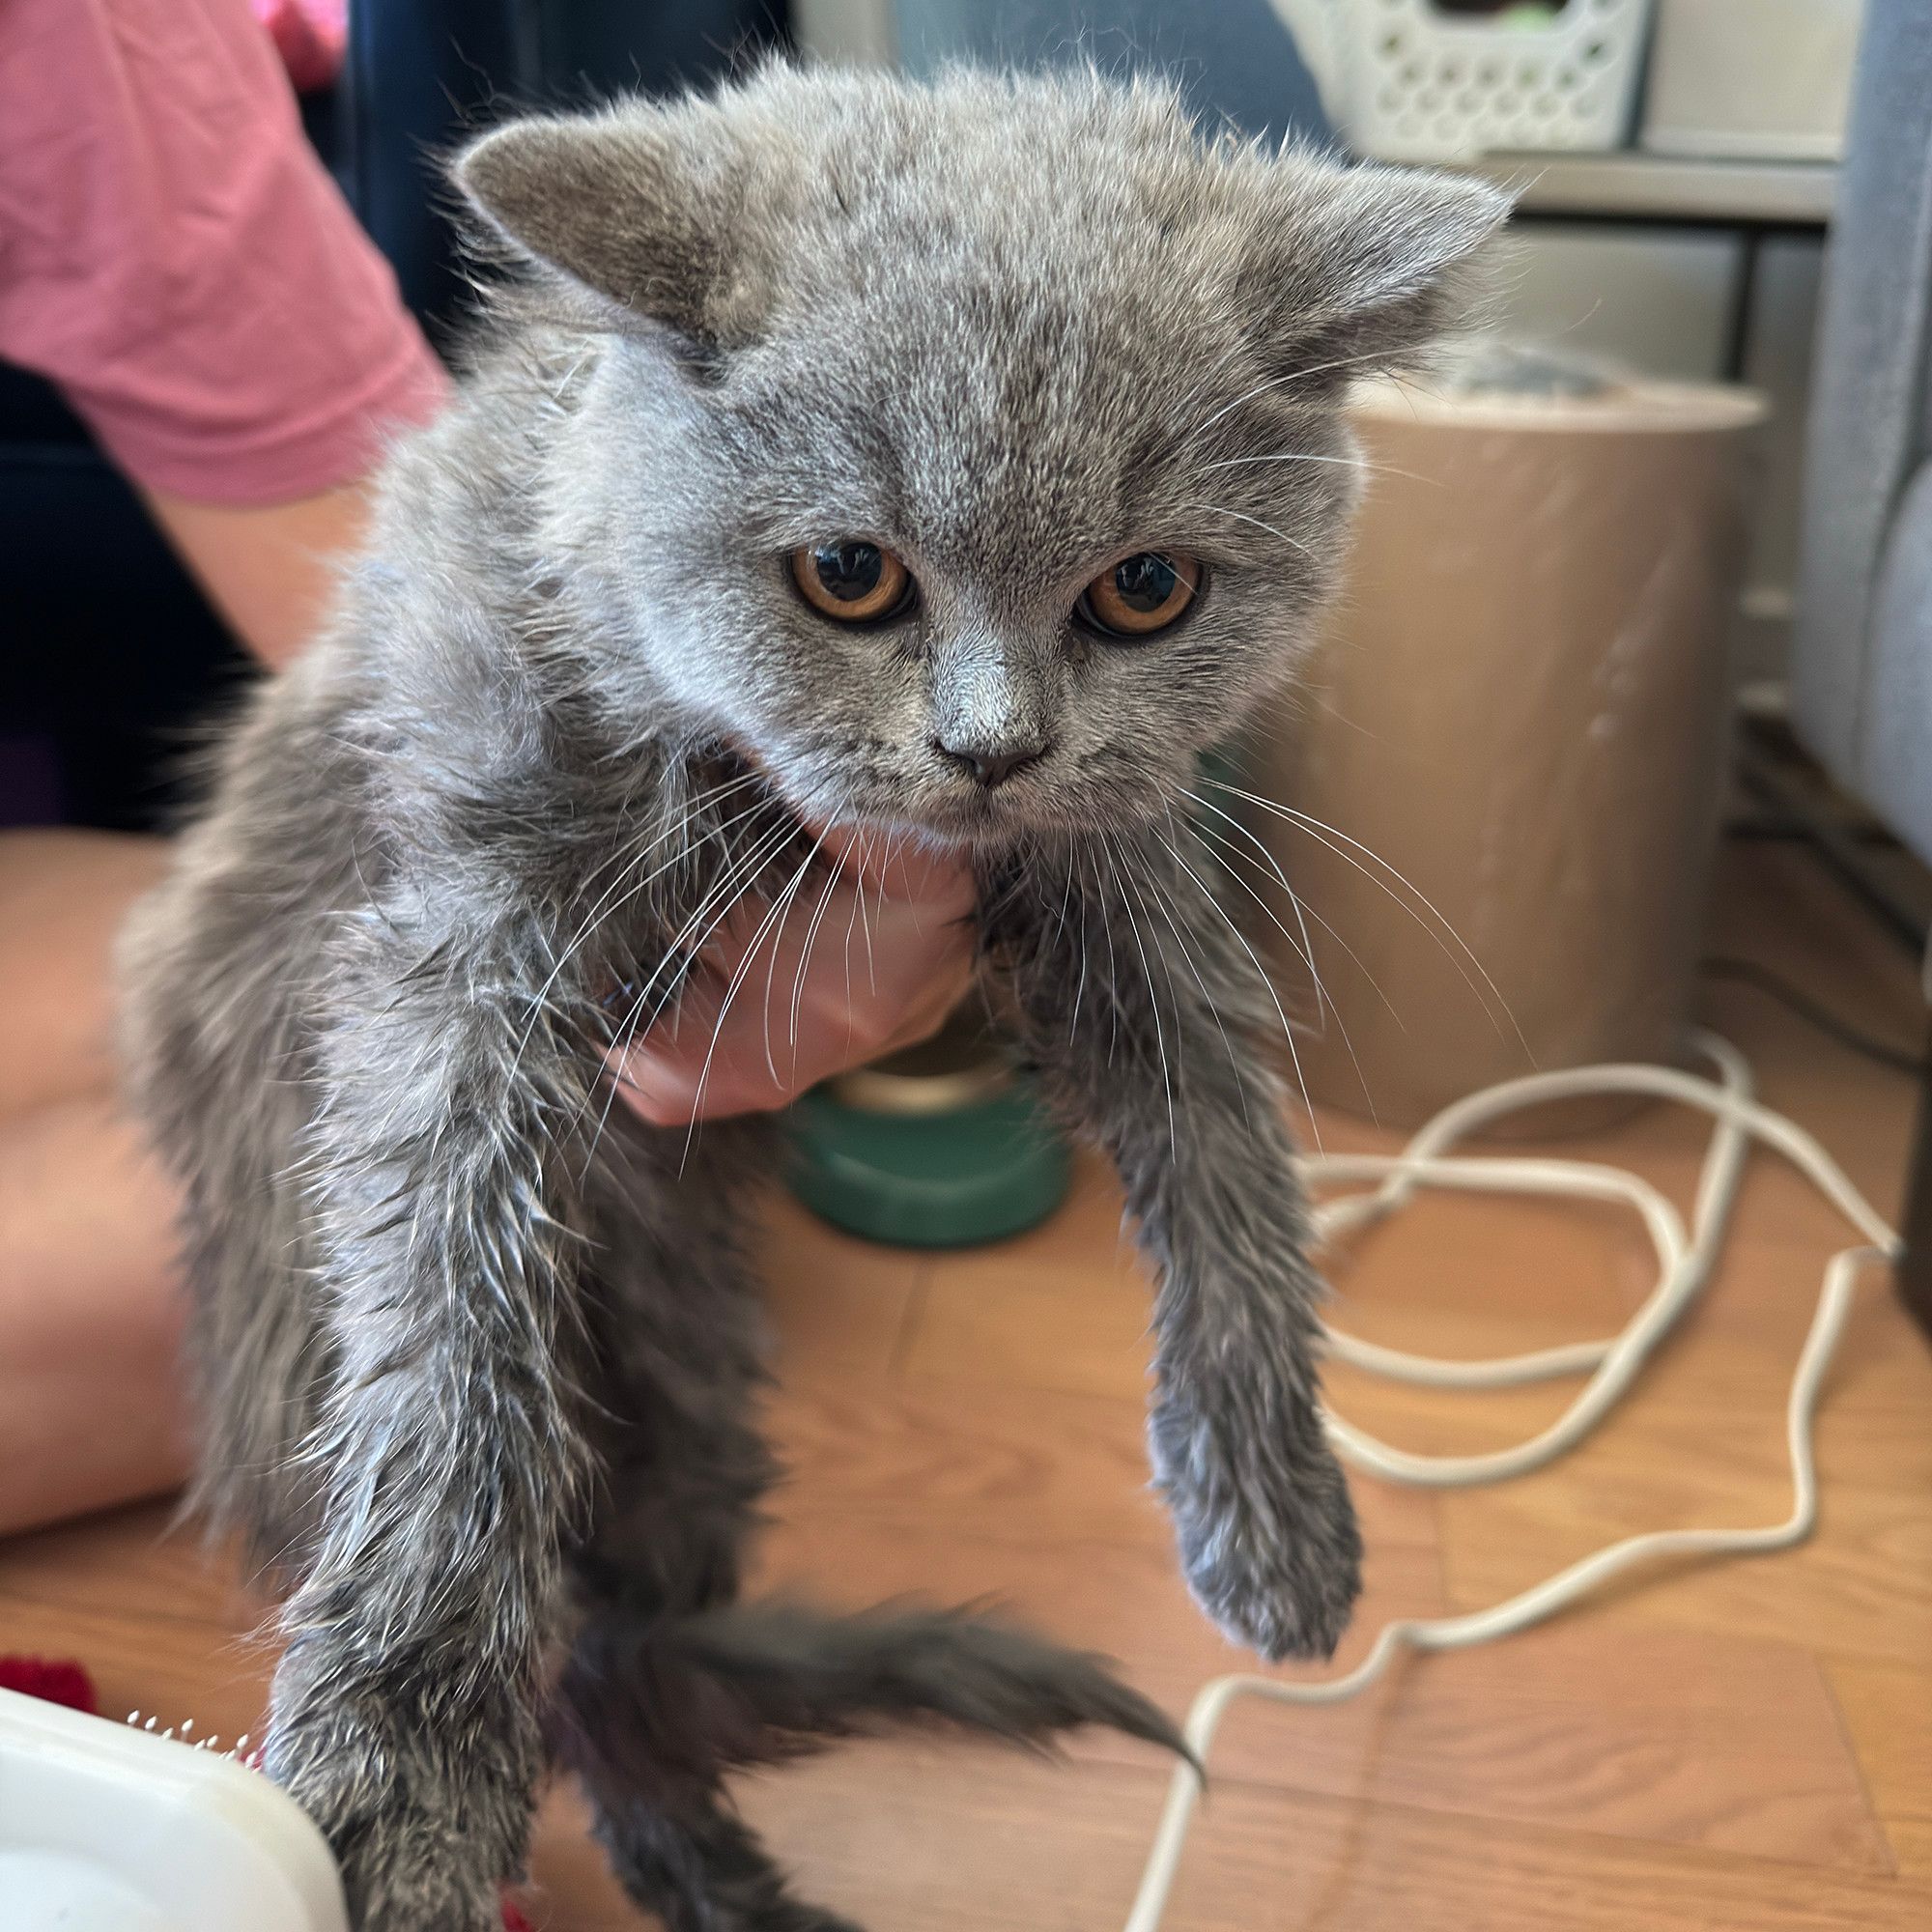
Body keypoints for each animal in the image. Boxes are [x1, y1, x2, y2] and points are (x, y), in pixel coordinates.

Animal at [121, 68, 1507, 1932]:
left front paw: (1272, 1508)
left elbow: (1232, 1162)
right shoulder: (464, 941)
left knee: (624, 1667)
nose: (992, 751)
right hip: (300, 1322)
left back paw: (720, 1870)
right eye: (850, 573)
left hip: (696, 1399)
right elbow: (451, 1326)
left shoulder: (1121, 881)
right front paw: (404, 1740)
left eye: (1146, 591)